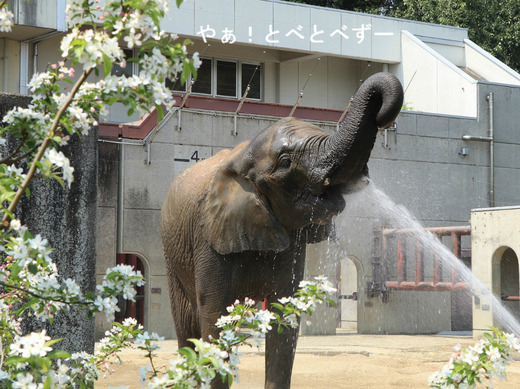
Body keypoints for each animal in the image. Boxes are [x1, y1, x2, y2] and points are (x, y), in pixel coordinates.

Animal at [160, 71, 404, 386]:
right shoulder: (208, 237)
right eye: (286, 163)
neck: (244, 156)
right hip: (172, 252)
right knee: (186, 323)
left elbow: (284, 313)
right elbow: (213, 315)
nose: (383, 115)